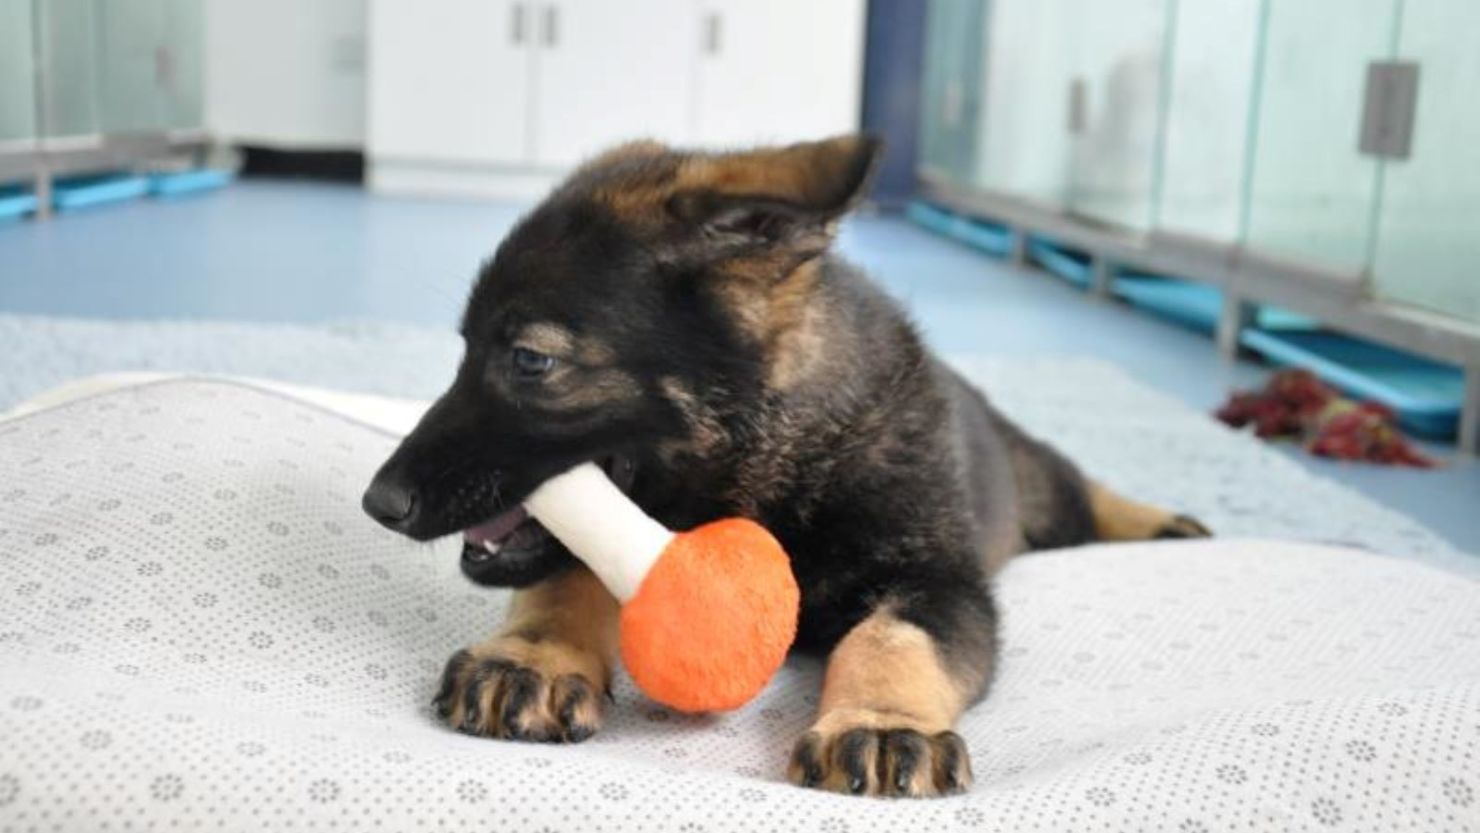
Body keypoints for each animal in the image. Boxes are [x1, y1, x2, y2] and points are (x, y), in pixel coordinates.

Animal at [364, 136, 1207, 798]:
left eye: (529, 360)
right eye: (464, 349)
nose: (379, 503)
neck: (772, 459)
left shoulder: (945, 581)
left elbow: (893, 635)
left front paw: (880, 719)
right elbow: (568, 572)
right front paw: (534, 655)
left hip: (1038, 483)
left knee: (1080, 486)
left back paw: (1168, 522)